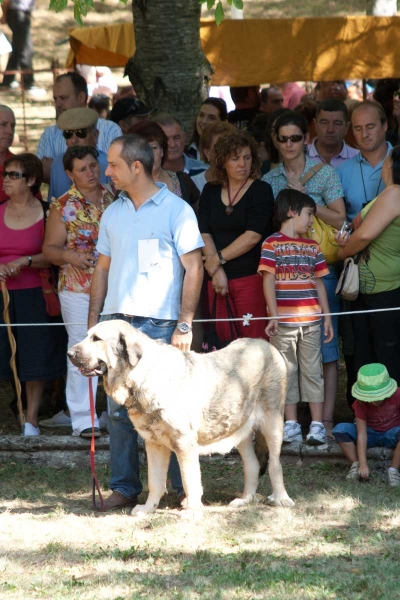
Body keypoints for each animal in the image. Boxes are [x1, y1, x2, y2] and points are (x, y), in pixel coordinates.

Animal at [68, 322, 294, 512]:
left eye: (96, 339)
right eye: (87, 335)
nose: (69, 353)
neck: (142, 376)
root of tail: (265, 344)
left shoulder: (184, 443)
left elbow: (189, 479)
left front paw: (192, 511)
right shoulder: (153, 444)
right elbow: (155, 481)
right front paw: (147, 509)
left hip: (272, 423)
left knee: (274, 464)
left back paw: (282, 498)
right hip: (240, 429)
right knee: (252, 464)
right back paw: (245, 500)